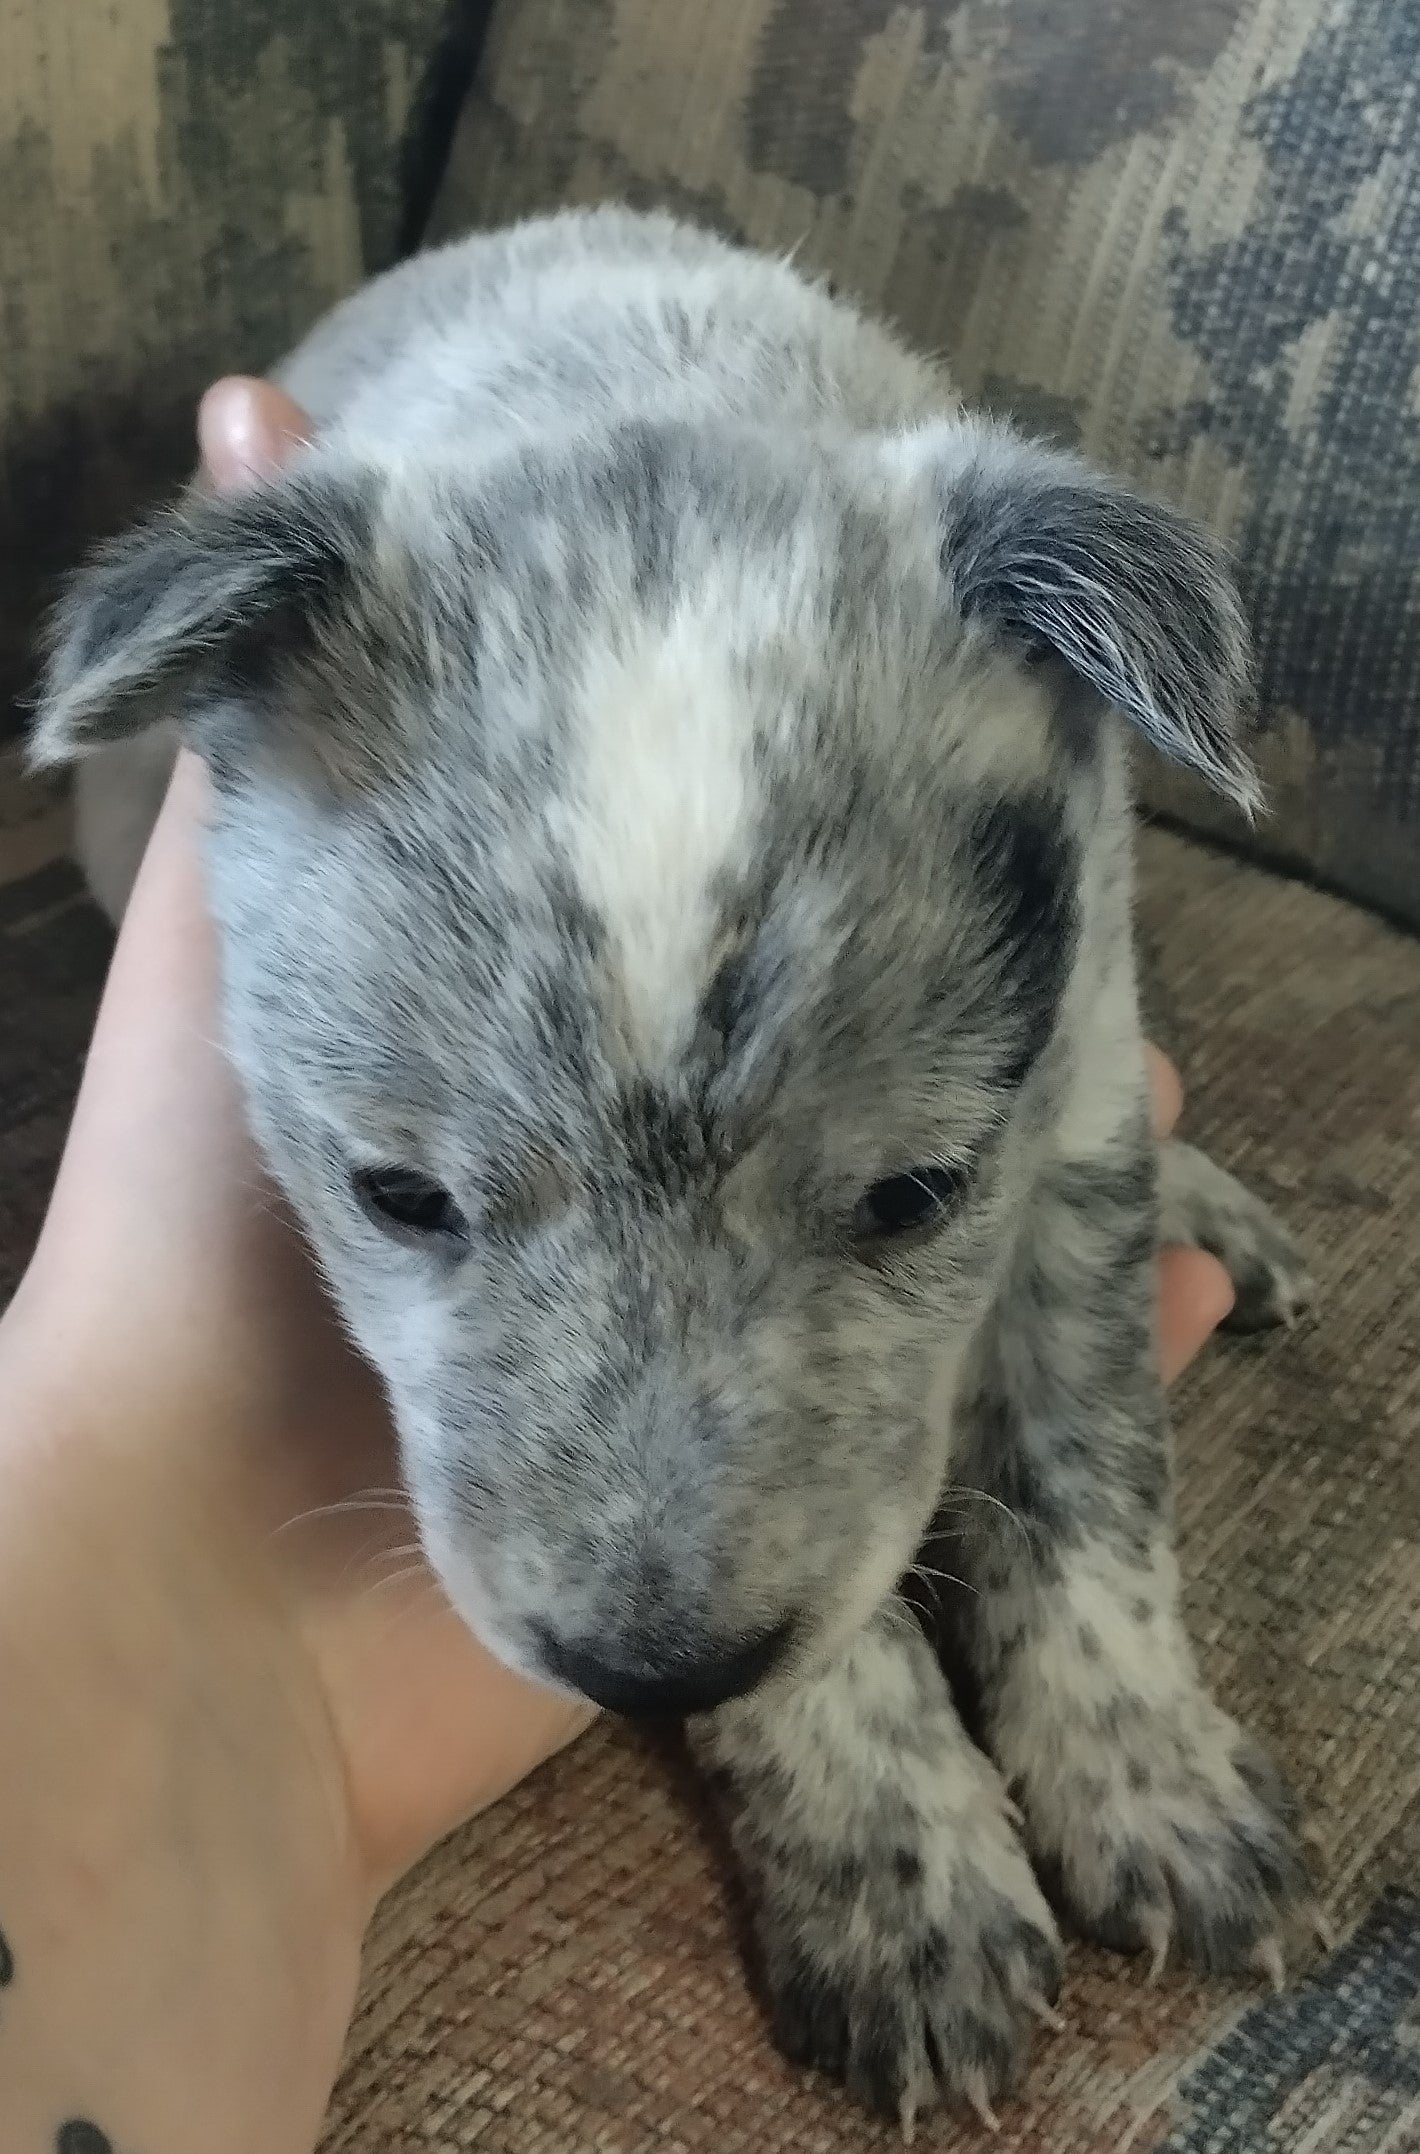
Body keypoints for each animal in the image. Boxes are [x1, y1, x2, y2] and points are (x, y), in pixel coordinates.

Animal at [33, 210, 1318, 2128]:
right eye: (399, 1196)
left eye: (916, 1195)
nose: (650, 1666)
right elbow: (830, 1633)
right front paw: (902, 1879)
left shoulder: (1075, 1098)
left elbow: (1088, 1486)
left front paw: (1149, 1779)